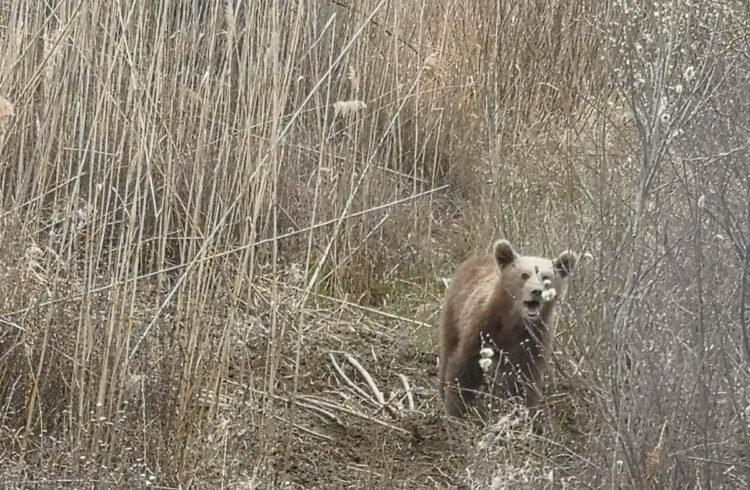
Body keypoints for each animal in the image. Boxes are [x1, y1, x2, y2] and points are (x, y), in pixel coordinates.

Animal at [440, 239, 576, 416]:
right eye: (524, 275)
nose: (536, 291)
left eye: (546, 277)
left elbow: (525, 379)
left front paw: (523, 412)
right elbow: (464, 368)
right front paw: (454, 409)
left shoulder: (533, 339)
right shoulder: (482, 329)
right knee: (448, 349)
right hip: (454, 311)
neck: (513, 321)